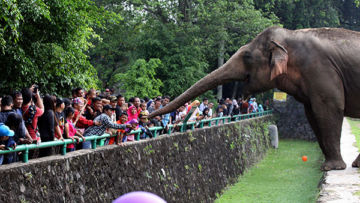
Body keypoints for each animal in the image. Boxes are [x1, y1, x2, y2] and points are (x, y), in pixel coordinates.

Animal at [148, 26, 360, 170]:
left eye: (247, 56)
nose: (146, 117)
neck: (290, 36)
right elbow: (312, 114)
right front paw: (329, 165)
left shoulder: (320, 70)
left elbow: (329, 108)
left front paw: (331, 167)